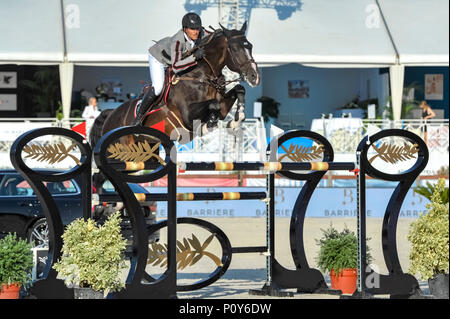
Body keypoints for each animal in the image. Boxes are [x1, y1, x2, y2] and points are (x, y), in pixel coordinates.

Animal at [90, 22, 260, 148]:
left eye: (250, 46)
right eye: (235, 48)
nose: (255, 77)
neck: (203, 75)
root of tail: (110, 114)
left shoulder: (223, 106)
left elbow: (239, 90)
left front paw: (236, 119)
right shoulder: (187, 115)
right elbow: (213, 105)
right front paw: (208, 125)